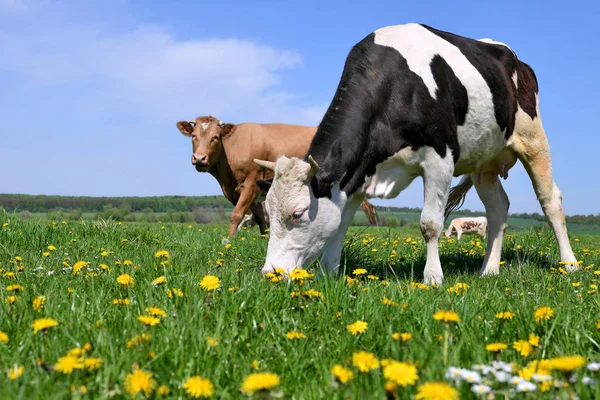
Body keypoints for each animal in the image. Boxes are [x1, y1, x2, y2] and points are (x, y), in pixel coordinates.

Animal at [176, 116, 378, 238]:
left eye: (215, 137)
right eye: (193, 136)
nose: (200, 158)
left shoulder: (251, 183)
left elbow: (237, 214)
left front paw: (229, 241)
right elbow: (260, 218)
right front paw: (264, 239)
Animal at [255, 22, 580, 284]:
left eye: (298, 213)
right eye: (267, 210)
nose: (270, 273)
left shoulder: (440, 159)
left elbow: (430, 223)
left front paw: (433, 277)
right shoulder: (360, 170)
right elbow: (341, 222)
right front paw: (328, 272)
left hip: (534, 140)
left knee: (550, 200)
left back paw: (569, 264)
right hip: (484, 162)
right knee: (498, 207)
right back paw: (489, 270)